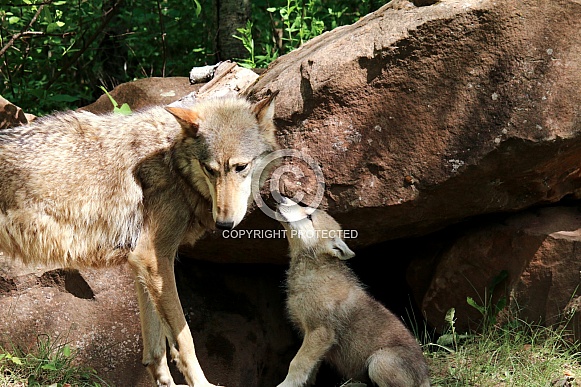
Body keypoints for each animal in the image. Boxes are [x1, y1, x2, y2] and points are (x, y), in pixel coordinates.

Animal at [0, 94, 278, 387]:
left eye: (241, 167)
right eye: (209, 169)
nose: (224, 224)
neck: (172, 162)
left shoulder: (141, 264)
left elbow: (155, 350)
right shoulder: (153, 257)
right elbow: (184, 340)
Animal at [274, 199, 428, 387]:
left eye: (309, 216)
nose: (282, 199)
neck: (312, 266)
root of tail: (425, 379)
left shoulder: (320, 331)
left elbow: (297, 362)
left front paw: (285, 384)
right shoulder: (313, 338)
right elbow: (311, 368)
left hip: (379, 362)